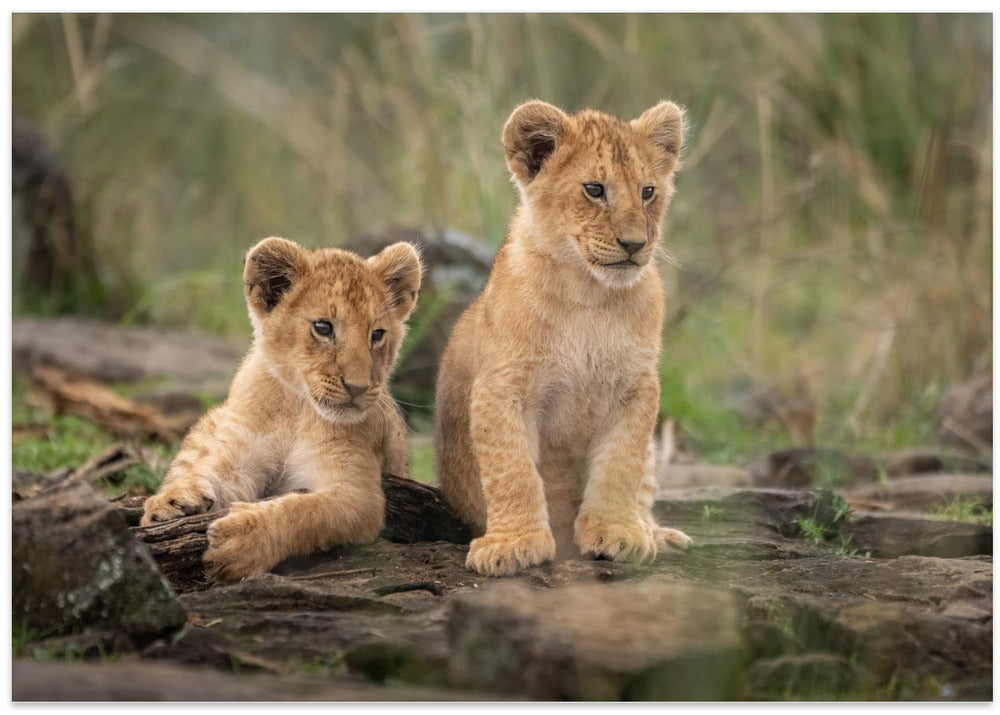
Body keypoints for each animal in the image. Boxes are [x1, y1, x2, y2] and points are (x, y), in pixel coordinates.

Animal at [141, 237, 423, 582]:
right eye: (323, 327)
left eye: (378, 335)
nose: (357, 387)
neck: (297, 407)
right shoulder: (243, 458)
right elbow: (219, 475)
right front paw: (175, 502)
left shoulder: (360, 494)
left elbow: (307, 511)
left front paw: (243, 541)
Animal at [434, 100, 693, 576]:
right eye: (594, 189)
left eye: (648, 192)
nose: (635, 244)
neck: (588, 294)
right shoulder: (503, 386)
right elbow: (512, 468)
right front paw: (513, 544)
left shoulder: (636, 386)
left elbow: (621, 464)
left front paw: (619, 534)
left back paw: (657, 533)